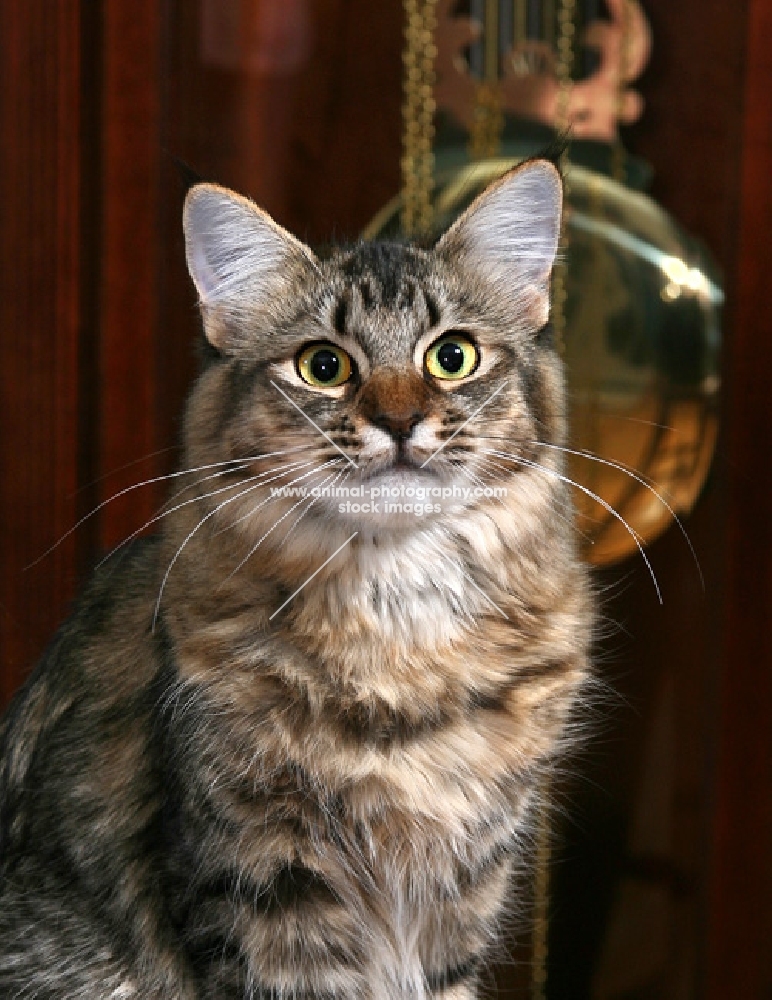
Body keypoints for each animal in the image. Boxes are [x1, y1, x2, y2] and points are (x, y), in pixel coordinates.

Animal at [0, 158, 592, 1000]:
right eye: (324, 366)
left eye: (452, 357)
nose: (400, 423)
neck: (400, 640)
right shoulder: (267, 883)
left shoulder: (465, 888)